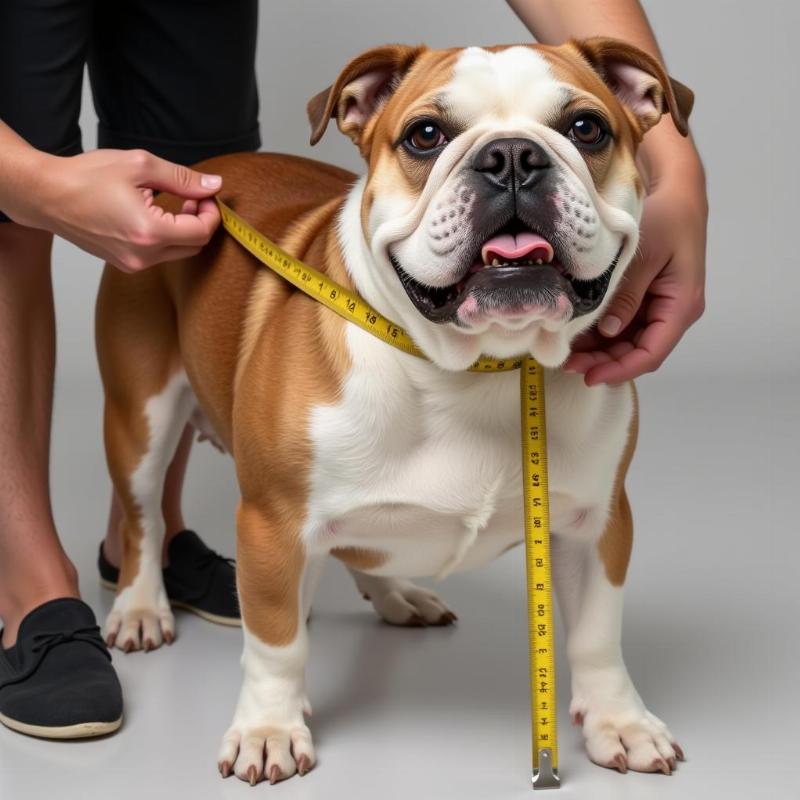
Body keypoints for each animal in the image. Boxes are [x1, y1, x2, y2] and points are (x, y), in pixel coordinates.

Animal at [95, 37, 692, 780]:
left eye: (587, 128)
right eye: (425, 135)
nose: (512, 157)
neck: (480, 367)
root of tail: (198, 175)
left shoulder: (597, 522)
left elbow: (596, 633)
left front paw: (621, 721)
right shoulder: (272, 522)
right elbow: (276, 645)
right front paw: (267, 728)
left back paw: (396, 594)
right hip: (140, 418)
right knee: (144, 516)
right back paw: (141, 608)